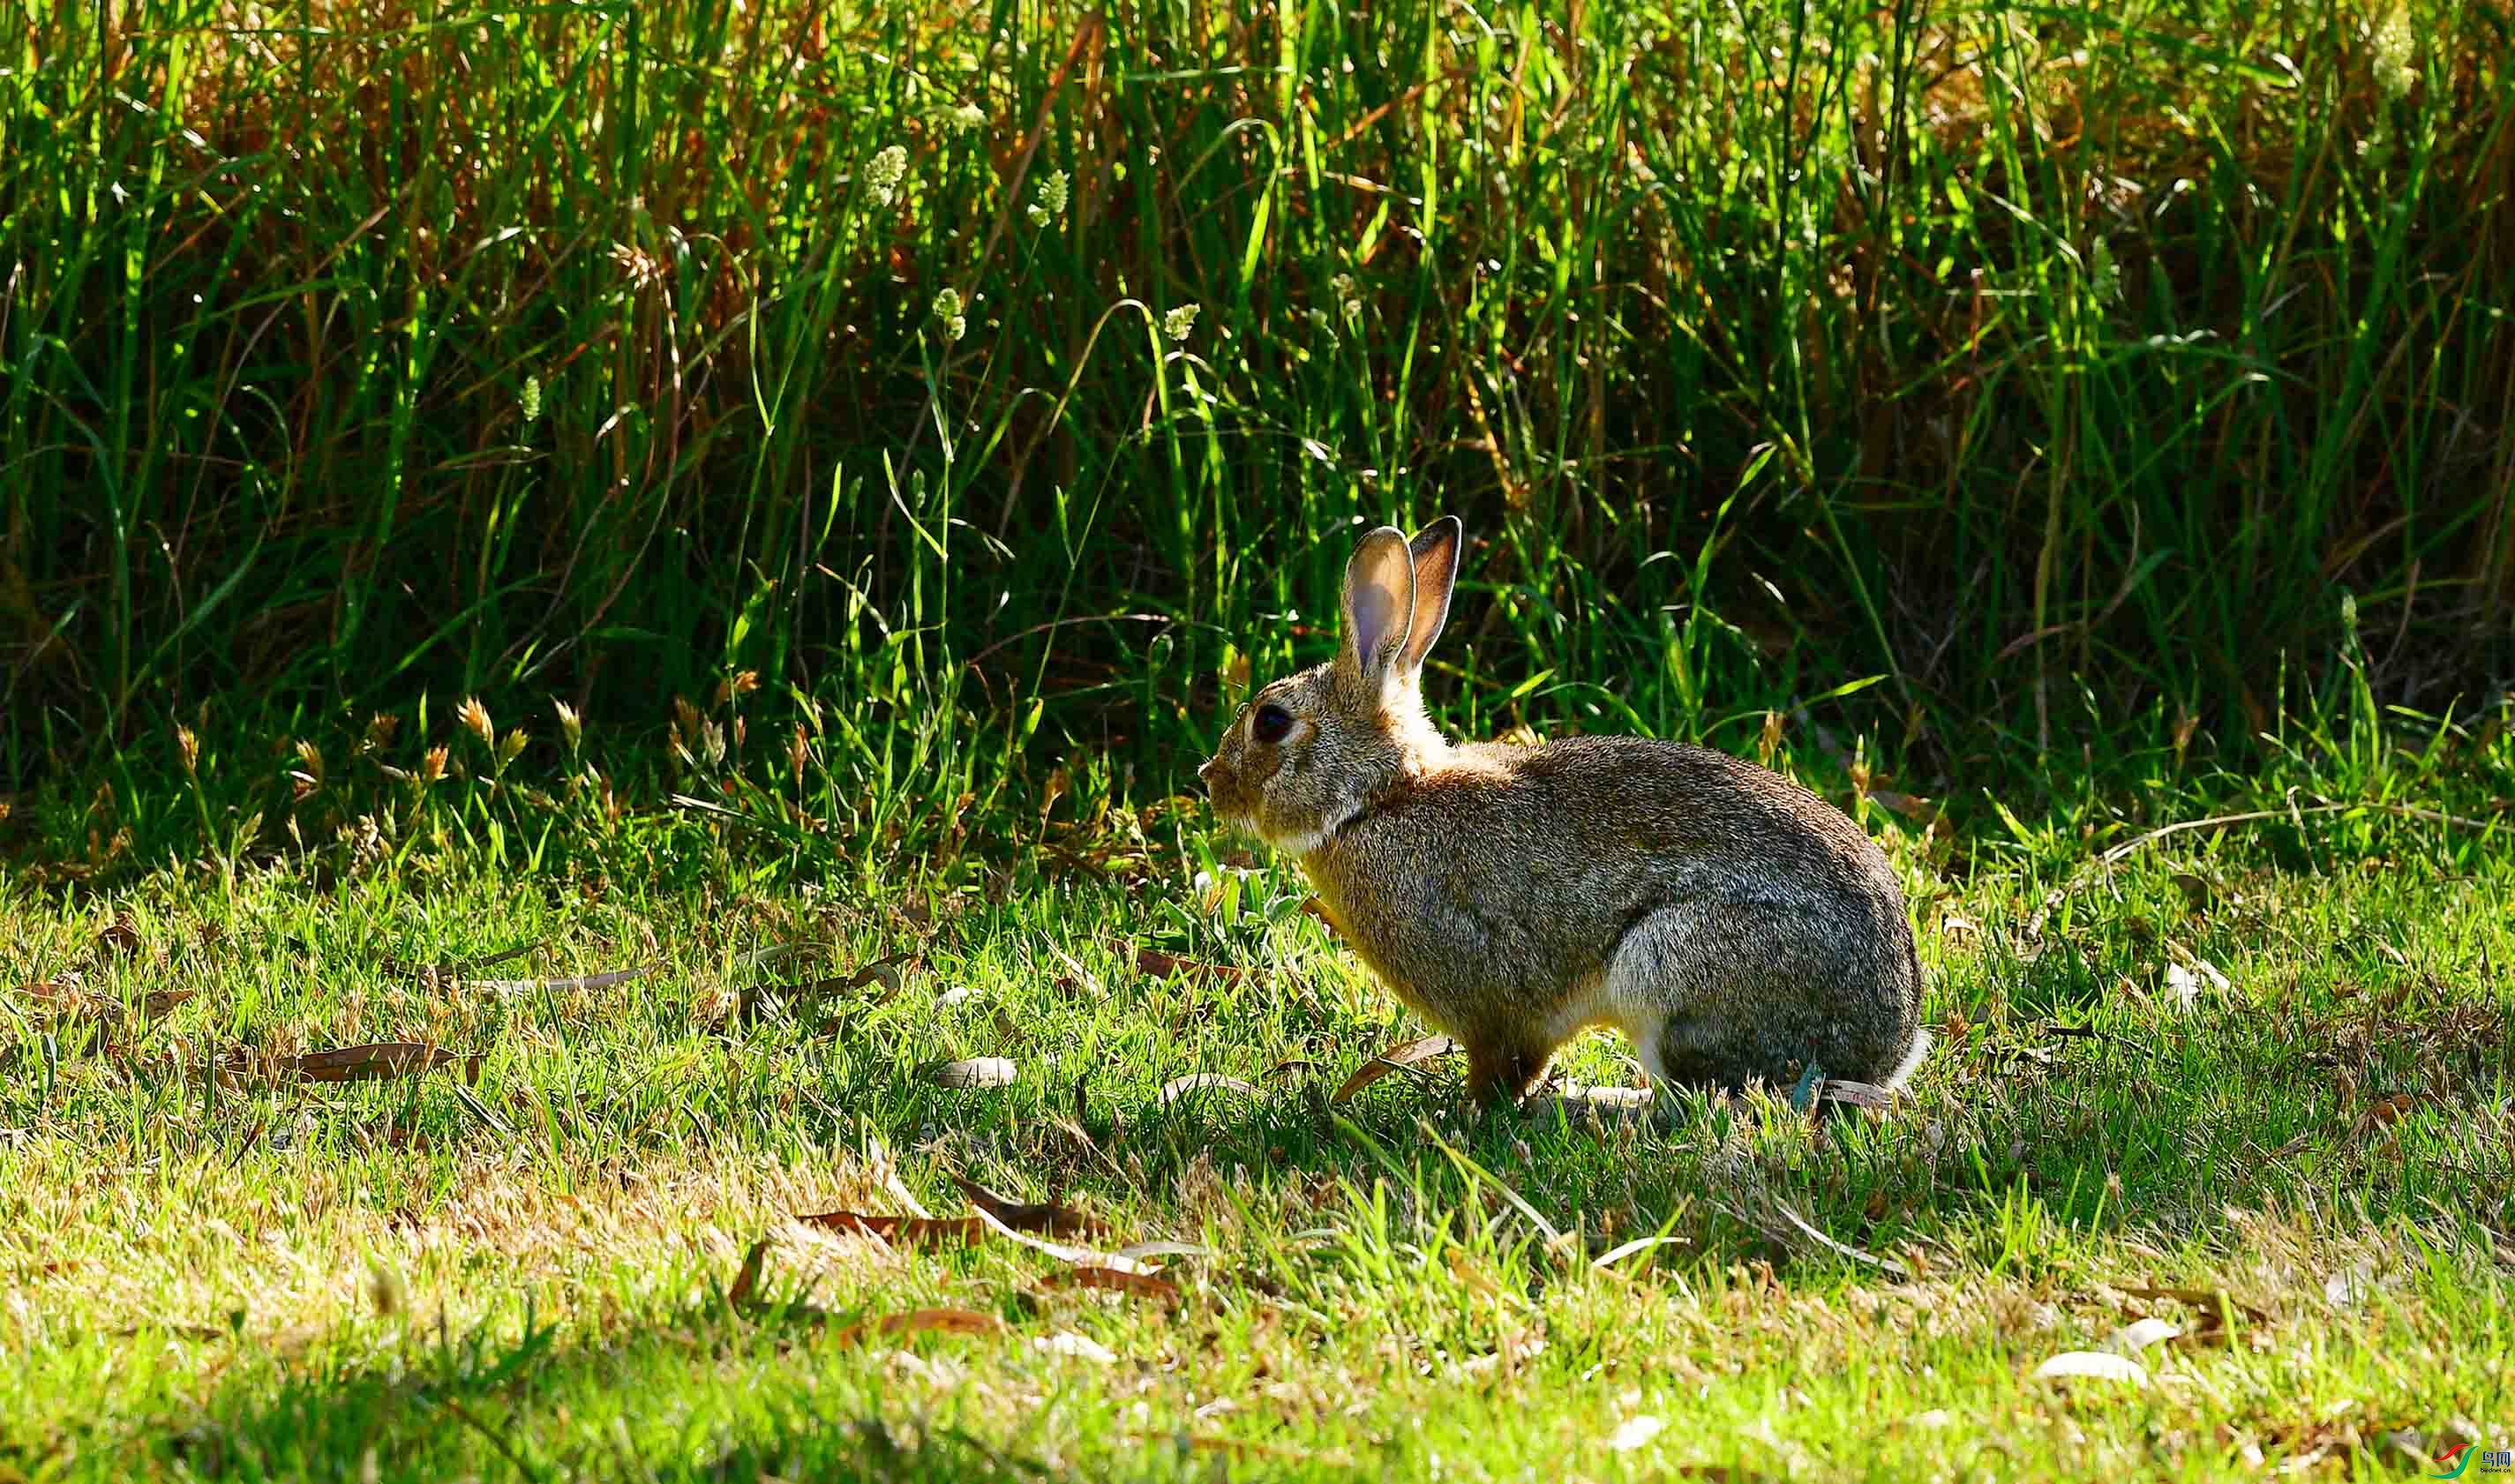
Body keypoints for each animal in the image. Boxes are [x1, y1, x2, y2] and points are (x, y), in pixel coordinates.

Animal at [1197, 518, 1921, 1112]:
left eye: (1271, 722)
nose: (1210, 781)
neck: (1379, 799)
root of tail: (1891, 1044)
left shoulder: (1493, 1005)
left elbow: (1504, 1065)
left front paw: (1469, 1114)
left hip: (1670, 968)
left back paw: (1592, 1102)